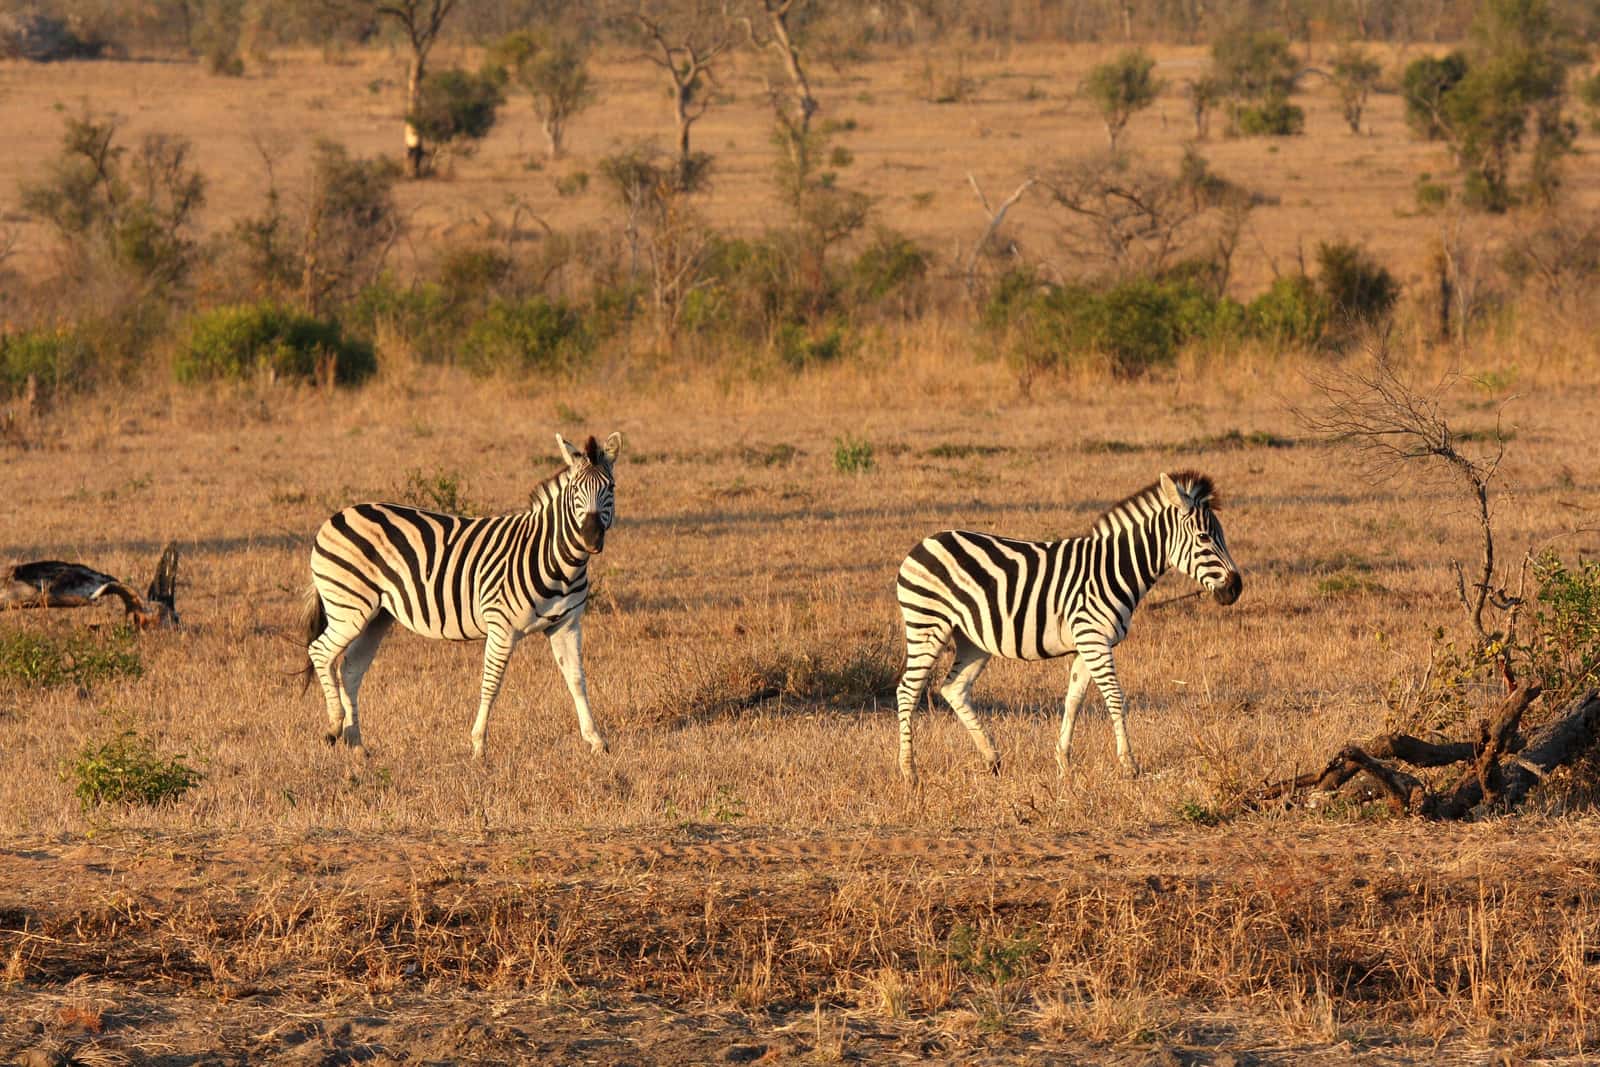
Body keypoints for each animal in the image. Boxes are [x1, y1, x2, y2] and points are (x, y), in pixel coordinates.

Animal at [301, 432, 621, 758]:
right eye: (575, 490)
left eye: (610, 488)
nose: (592, 538)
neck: (553, 558)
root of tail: (338, 515)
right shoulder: (501, 626)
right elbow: (491, 684)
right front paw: (479, 745)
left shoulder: (566, 624)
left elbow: (577, 679)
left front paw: (596, 740)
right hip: (349, 607)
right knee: (320, 651)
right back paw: (334, 726)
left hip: (377, 615)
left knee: (350, 668)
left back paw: (356, 744)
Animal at [893, 471, 1241, 784]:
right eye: (1204, 538)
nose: (1236, 588)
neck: (1113, 569)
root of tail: (924, 543)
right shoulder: (1093, 639)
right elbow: (1116, 698)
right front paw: (1129, 765)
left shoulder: (1088, 645)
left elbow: (1073, 701)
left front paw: (1063, 765)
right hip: (927, 624)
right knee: (907, 690)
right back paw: (910, 772)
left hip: (972, 639)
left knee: (954, 688)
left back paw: (992, 759)